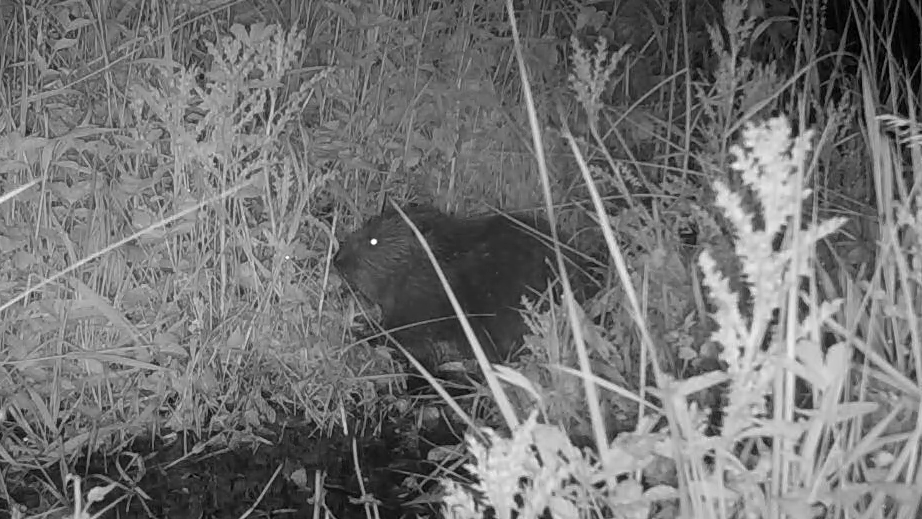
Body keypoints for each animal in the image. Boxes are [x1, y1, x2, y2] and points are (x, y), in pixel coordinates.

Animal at [332, 204, 588, 374]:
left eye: (373, 241)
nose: (337, 259)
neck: (435, 260)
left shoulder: (424, 297)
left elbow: (402, 330)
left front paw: (357, 332)